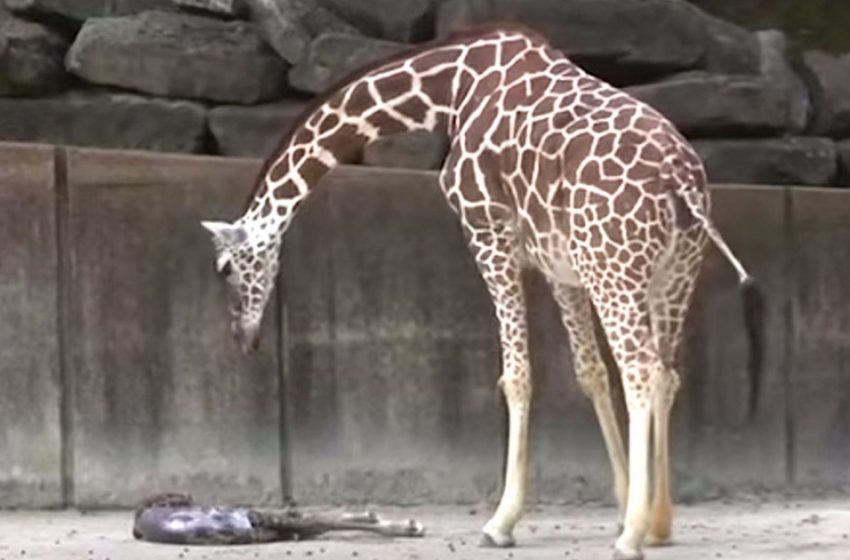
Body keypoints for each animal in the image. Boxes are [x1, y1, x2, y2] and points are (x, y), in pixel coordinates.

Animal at [202, 24, 764, 556]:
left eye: (225, 268)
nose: (244, 339)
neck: (451, 89)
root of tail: (679, 176)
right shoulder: (560, 264)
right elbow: (589, 373)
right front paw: (630, 501)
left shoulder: (488, 232)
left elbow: (516, 376)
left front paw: (503, 521)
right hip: (671, 273)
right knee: (666, 372)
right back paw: (659, 521)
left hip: (615, 268)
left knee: (642, 371)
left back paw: (630, 538)